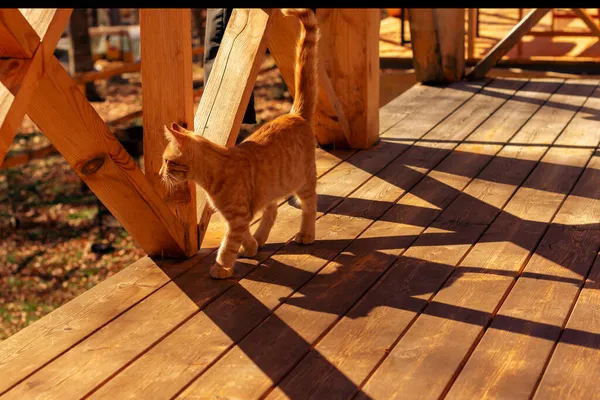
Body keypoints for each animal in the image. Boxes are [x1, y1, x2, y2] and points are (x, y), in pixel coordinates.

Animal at [159, 8, 318, 278]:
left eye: (167, 161)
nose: (159, 173)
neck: (213, 174)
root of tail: (295, 114)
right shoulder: (237, 215)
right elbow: (242, 235)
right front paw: (251, 246)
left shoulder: (238, 216)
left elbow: (228, 244)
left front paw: (222, 267)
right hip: (272, 185)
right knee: (272, 210)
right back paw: (261, 237)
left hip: (304, 182)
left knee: (309, 206)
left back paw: (306, 234)